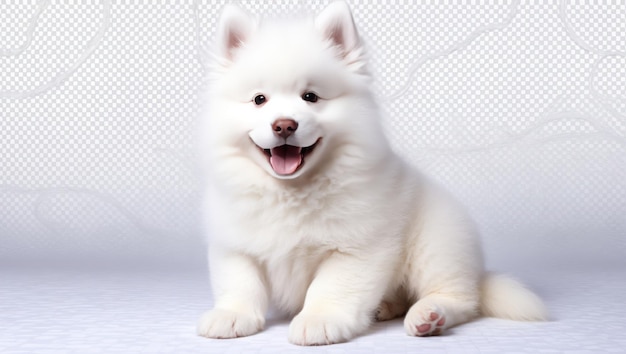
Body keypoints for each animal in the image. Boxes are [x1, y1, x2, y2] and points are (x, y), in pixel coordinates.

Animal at [196, 0, 544, 346]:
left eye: (310, 97)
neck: (292, 191)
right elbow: (241, 282)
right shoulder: (235, 244)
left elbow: (330, 286)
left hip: (436, 246)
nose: (284, 125)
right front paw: (231, 315)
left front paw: (319, 319)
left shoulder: (355, 247)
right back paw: (386, 307)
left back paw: (428, 317)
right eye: (259, 100)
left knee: (460, 298)